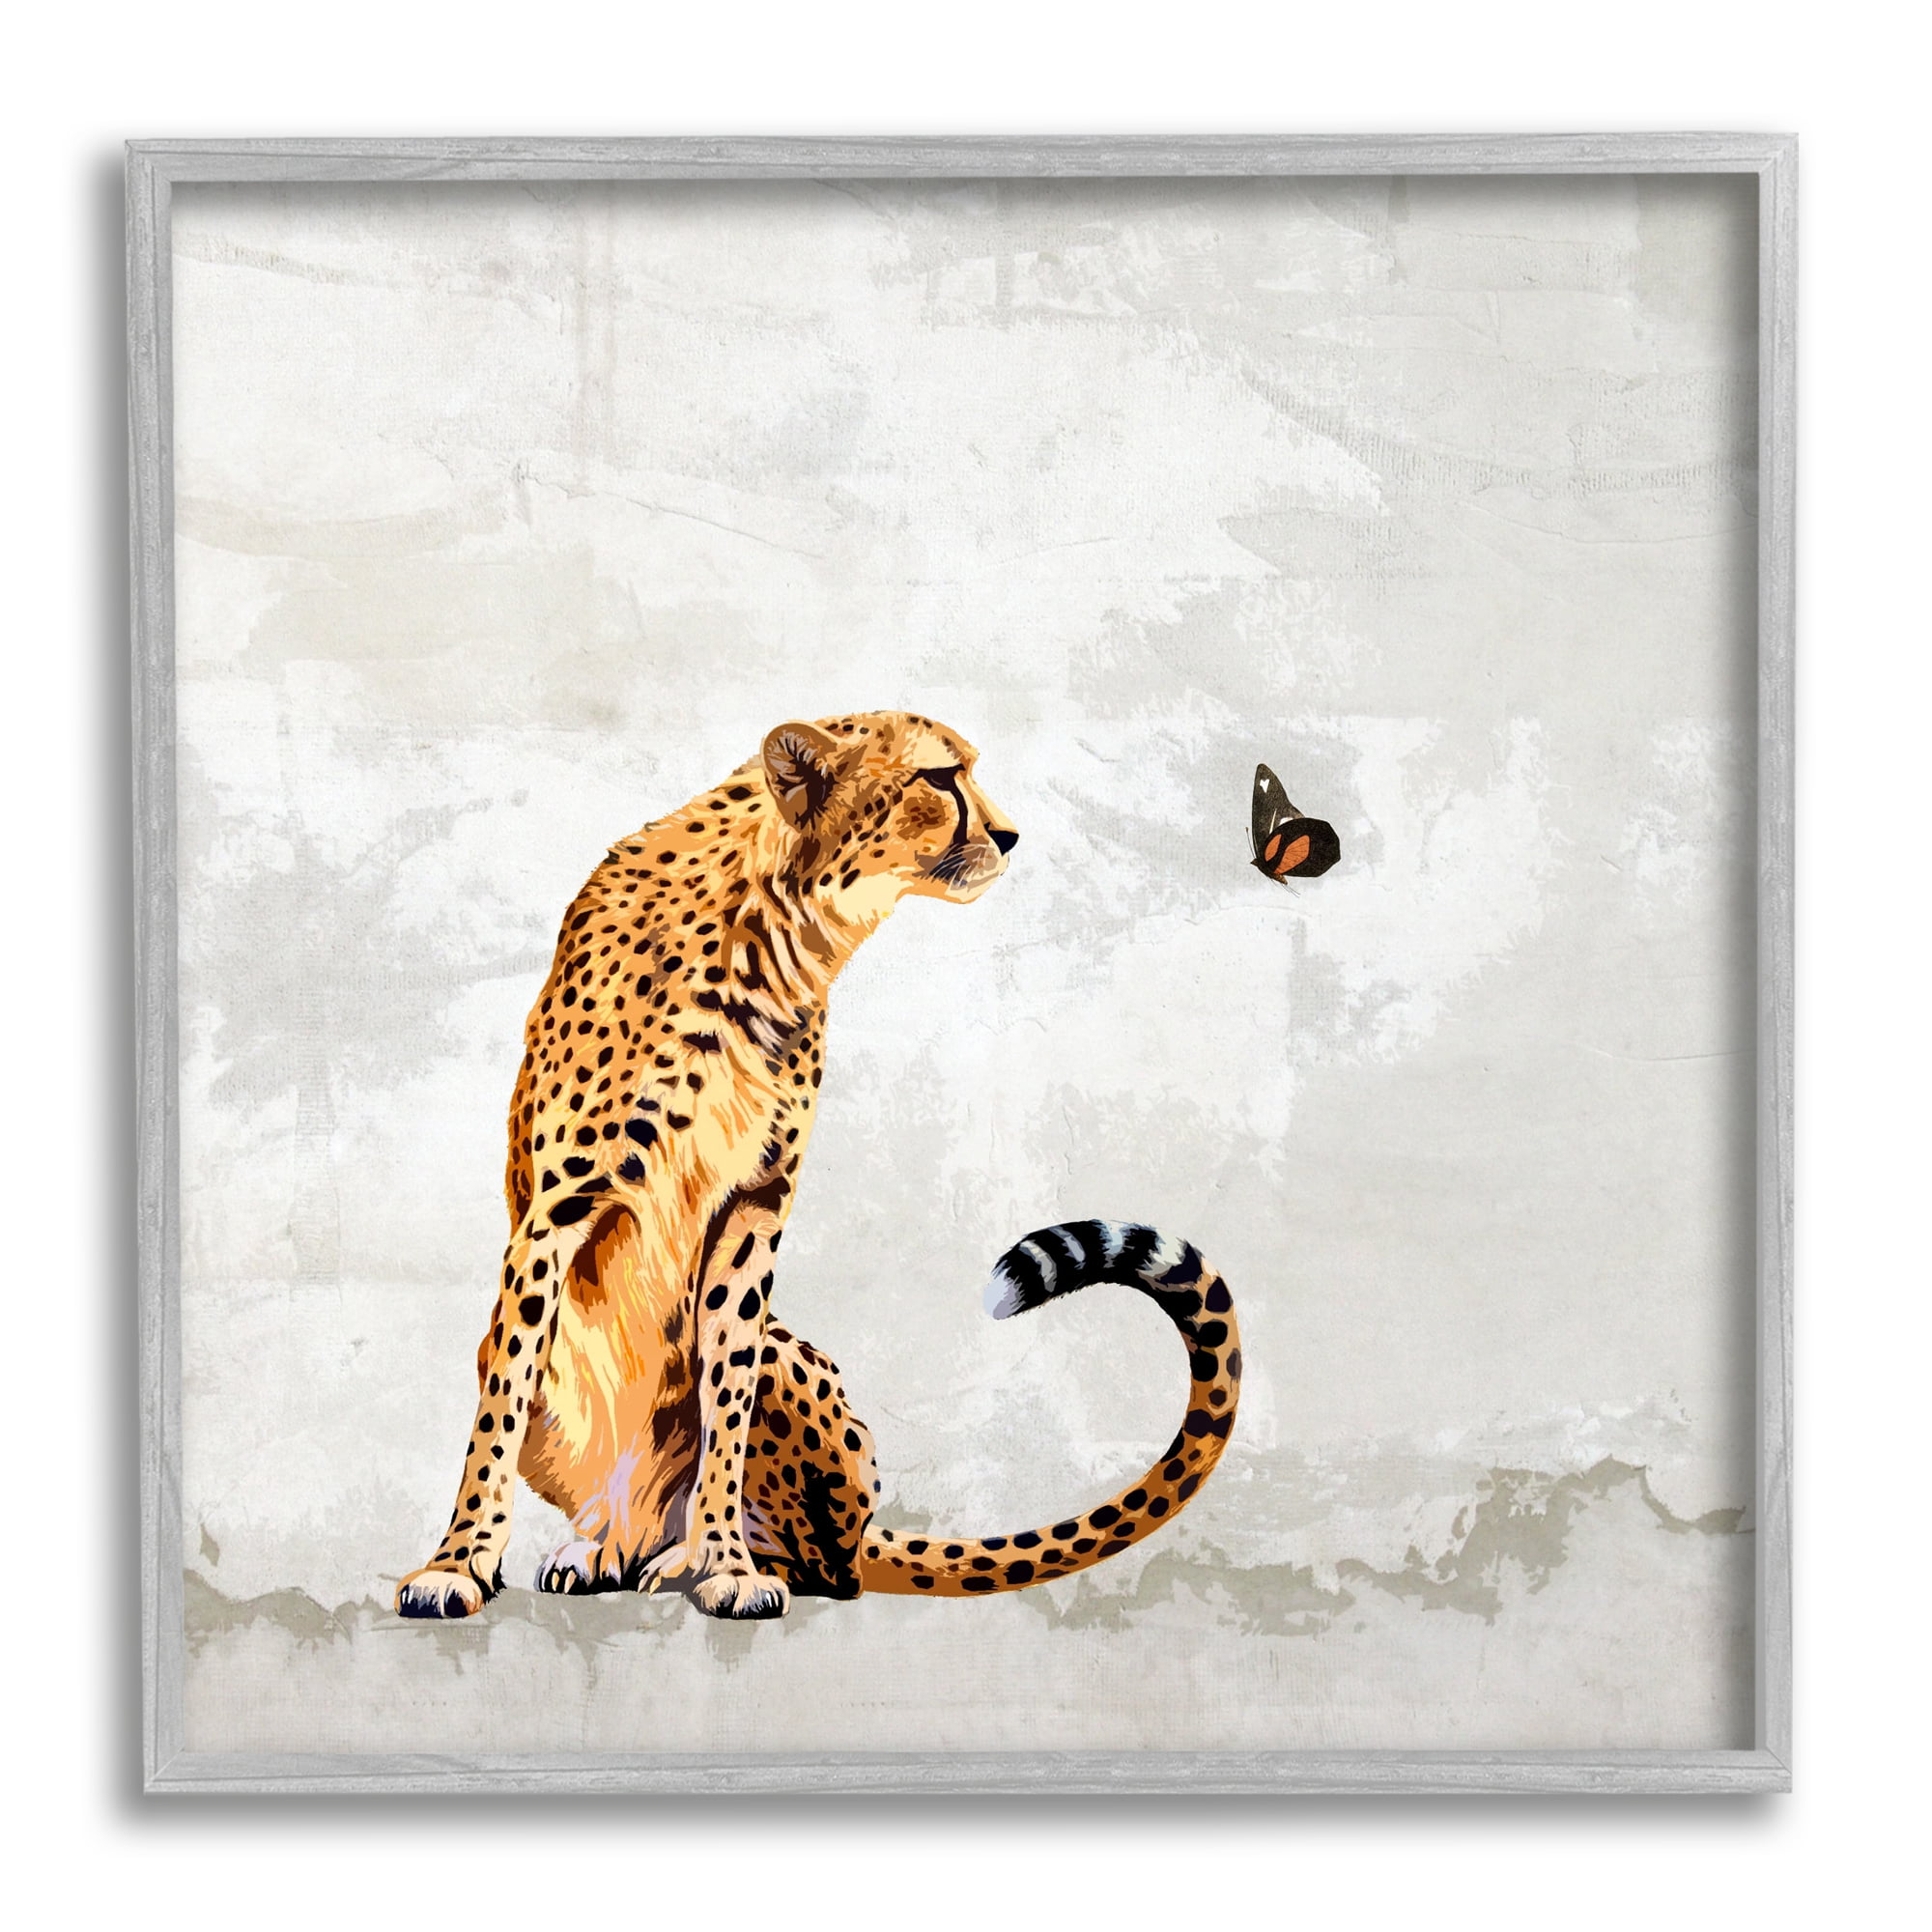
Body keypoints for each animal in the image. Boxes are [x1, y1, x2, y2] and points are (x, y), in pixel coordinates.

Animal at [395, 710, 1241, 1621]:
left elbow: (726, 1394)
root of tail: (868, 1524)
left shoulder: (755, 1206)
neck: (772, 932)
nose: (1012, 836)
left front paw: (726, 1563)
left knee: (828, 1564)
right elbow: (501, 1405)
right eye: (941, 777)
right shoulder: (556, 1214)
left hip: (798, 1381)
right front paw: (458, 1562)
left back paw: (685, 1556)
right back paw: (604, 1550)